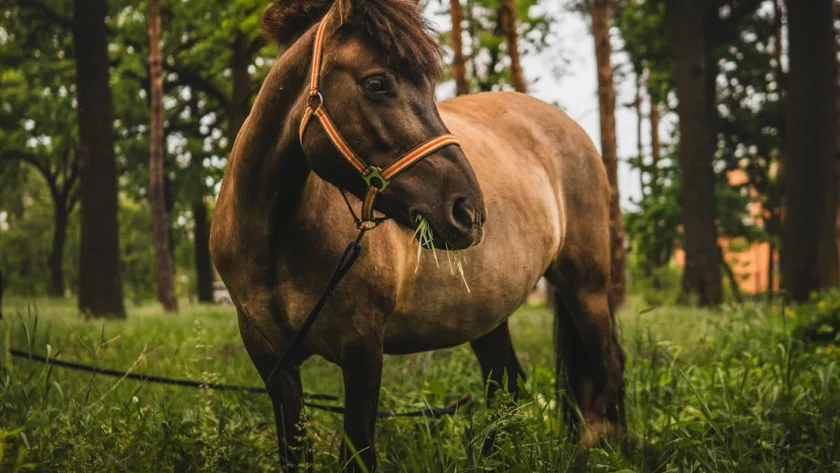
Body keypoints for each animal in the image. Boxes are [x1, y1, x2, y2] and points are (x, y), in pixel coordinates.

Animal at [209, 0, 627, 470]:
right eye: (376, 83)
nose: (468, 211)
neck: (273, 241)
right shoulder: (272, 361)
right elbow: (294, 453)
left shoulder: (362, 350)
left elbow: (358, 449)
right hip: (487, 313)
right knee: (505, 384)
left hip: (584, 286)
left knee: (608, 365)